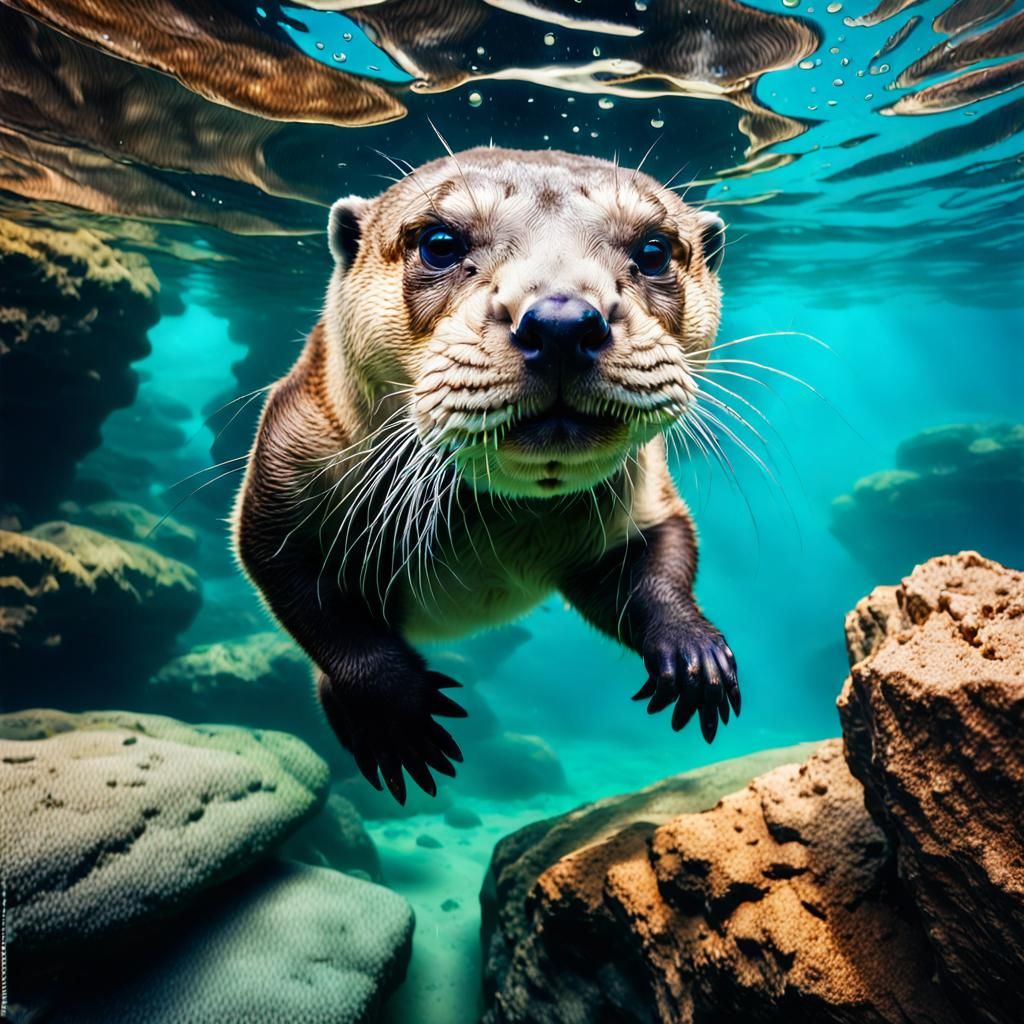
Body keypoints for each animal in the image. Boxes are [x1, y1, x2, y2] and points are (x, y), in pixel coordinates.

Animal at [234, 147, 740, 804]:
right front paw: (396, 713)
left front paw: (694, 652)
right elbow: (304, 592)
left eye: (653, 250)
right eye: (440, 244)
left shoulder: (641, 491)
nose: (561, 320)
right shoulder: (288, 460)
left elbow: (658, 557)